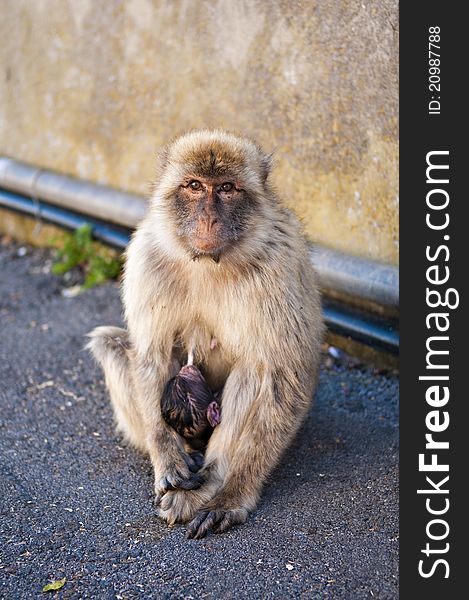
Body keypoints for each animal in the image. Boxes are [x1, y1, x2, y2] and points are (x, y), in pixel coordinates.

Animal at [87, 130, 322, 540]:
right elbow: (150, 355)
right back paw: (185, 455)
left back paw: (210, 480)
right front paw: (167, 458)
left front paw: (234, 494)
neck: (209, 263)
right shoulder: (146, 256)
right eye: (194, 186)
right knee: (110, 344)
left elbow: (284, 376)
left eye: (226, 188)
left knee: (253, 371)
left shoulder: (279, 263)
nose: (209, 218)